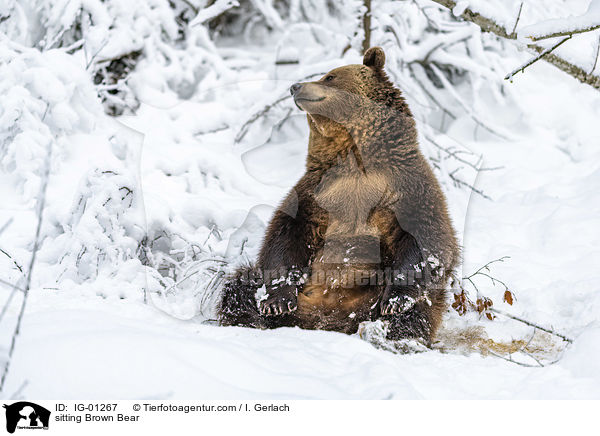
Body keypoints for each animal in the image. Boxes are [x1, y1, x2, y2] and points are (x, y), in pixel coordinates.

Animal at [220, 45, 460, 344]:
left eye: (330, 76)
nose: (295, 86)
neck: (354, 159)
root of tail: (324, 319)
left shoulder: (407, 186)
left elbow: (426, 238)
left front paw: (396, 300)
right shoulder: (315, 193)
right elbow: (285, 235)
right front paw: (276, 302)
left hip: (376, 299)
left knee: (420, 309)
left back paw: (391, 334)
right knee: (239, 285)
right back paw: (253, 319)